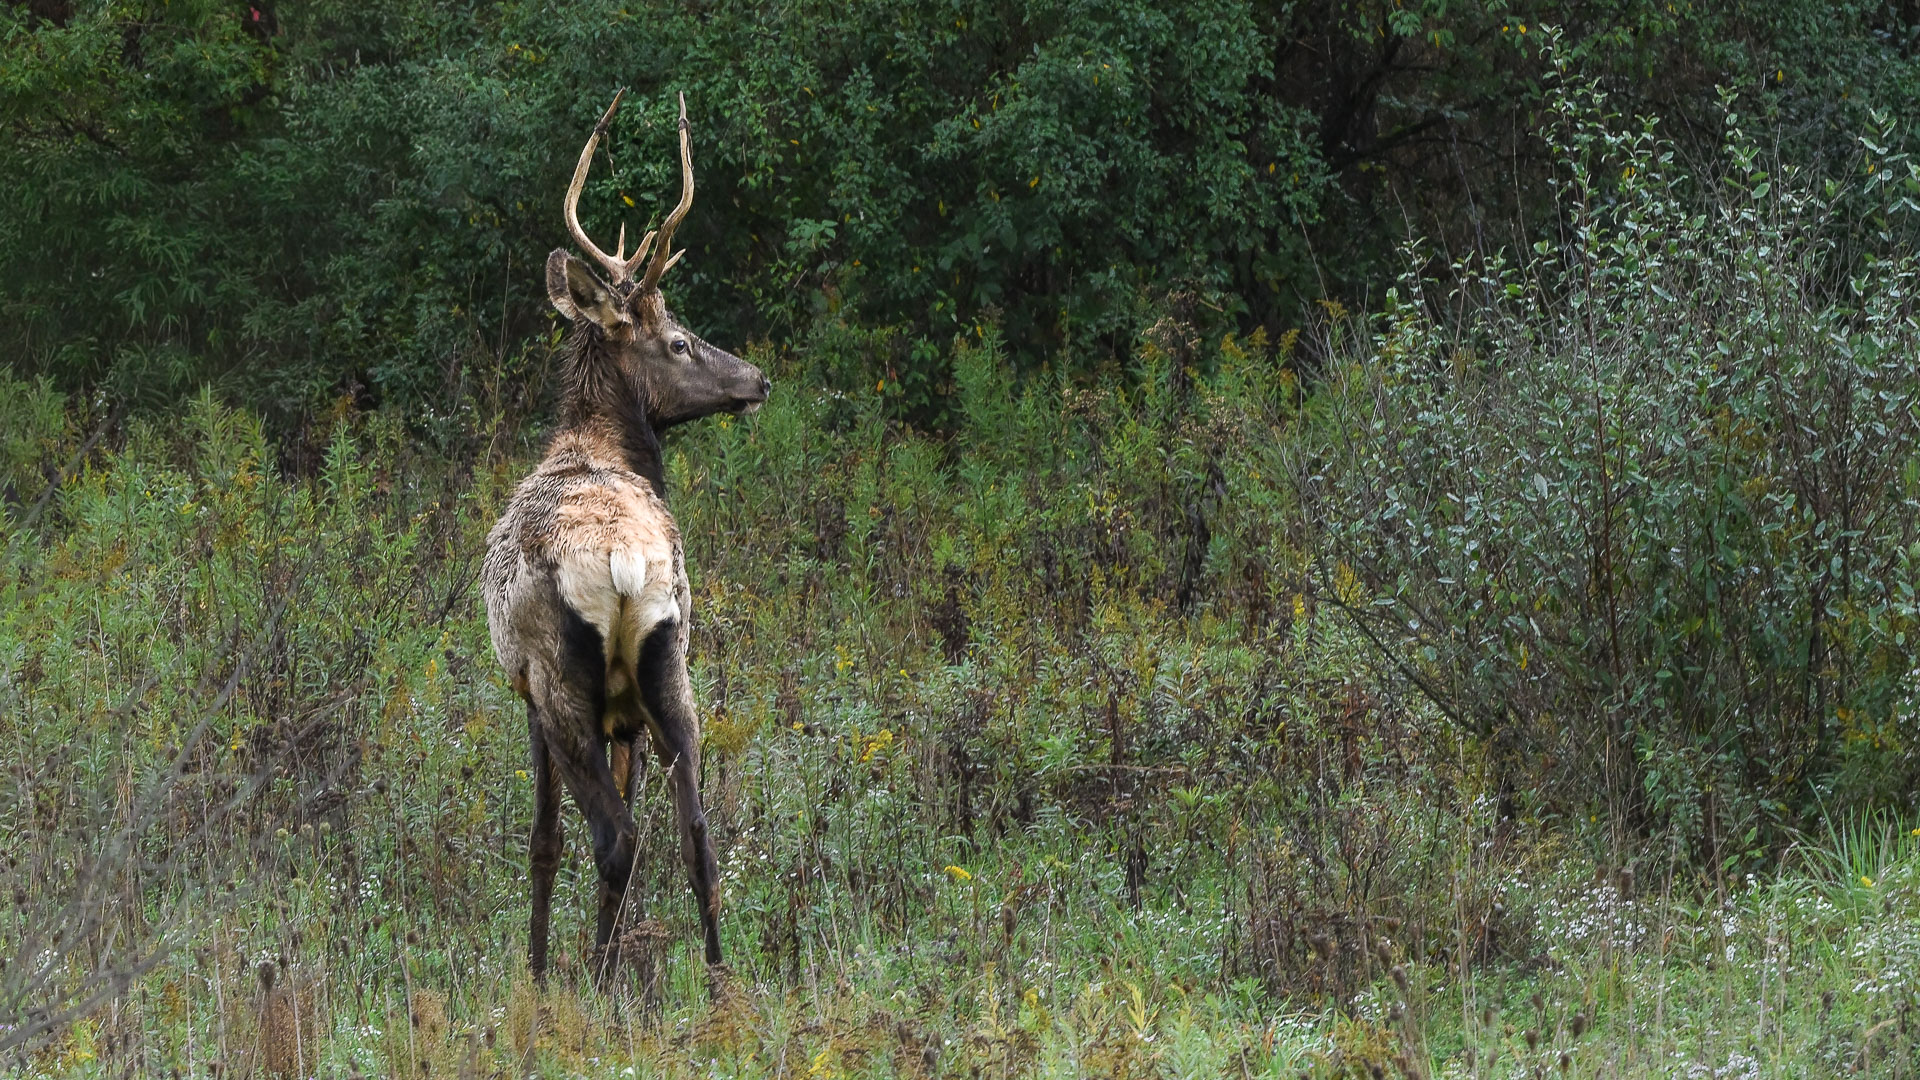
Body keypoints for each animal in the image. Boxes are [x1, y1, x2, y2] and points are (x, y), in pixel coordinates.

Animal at [483, 89, 766, 985]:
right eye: (678, 340)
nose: (756, 377)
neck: (593, 445)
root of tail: (620, 567)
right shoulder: (629, 714)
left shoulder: (525, 691)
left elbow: (543, 843)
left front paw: (536, 974)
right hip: (669, 662)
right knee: (696, 834)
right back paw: (713, 979)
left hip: (564, 684)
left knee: (615, 838)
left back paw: (585, 984)